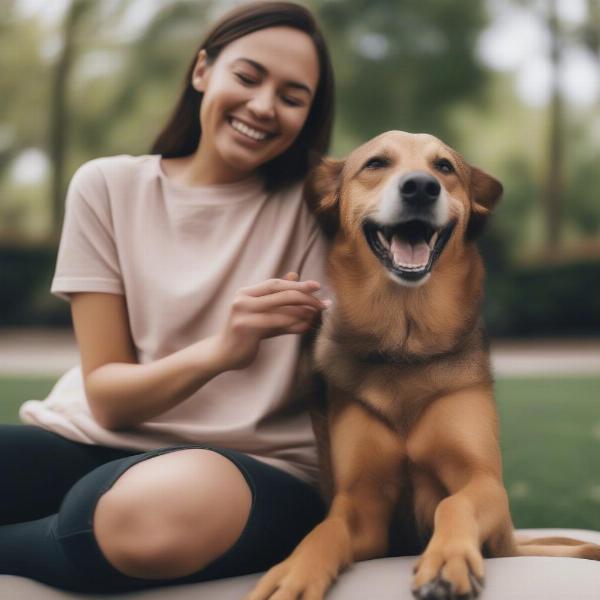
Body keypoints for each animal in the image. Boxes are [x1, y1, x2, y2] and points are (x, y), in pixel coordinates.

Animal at [245, 132, 600, 600]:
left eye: (444, 167)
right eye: (376, 163)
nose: (420, 187)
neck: (405, 344)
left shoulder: (485, 481)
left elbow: (454, 501)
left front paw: (447, 560)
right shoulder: (360, 503)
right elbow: (325, 531)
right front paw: (294, 572)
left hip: (509, 539)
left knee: (570, 547)